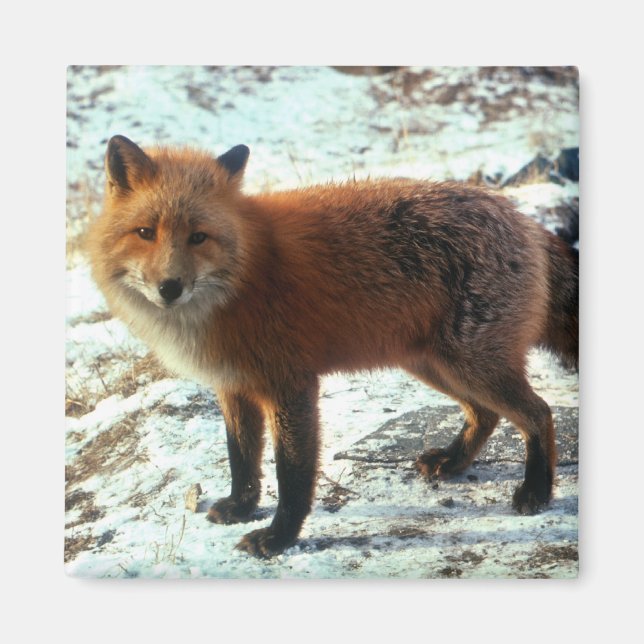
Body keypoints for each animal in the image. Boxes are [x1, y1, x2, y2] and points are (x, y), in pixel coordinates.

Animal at [87, 135, 579, 558]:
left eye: (198, 237)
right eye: (145, 232)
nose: (170, 288)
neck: (240, 281)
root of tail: (523, 219)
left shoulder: (290, 385)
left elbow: (291, 473)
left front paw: (278, 538)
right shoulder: (233, 386)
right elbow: (242, 459)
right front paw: (242, 508)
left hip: (469, 364)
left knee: (539, 414)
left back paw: (536, 491)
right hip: (435, 365)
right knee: (487, 414)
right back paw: (453, 461)